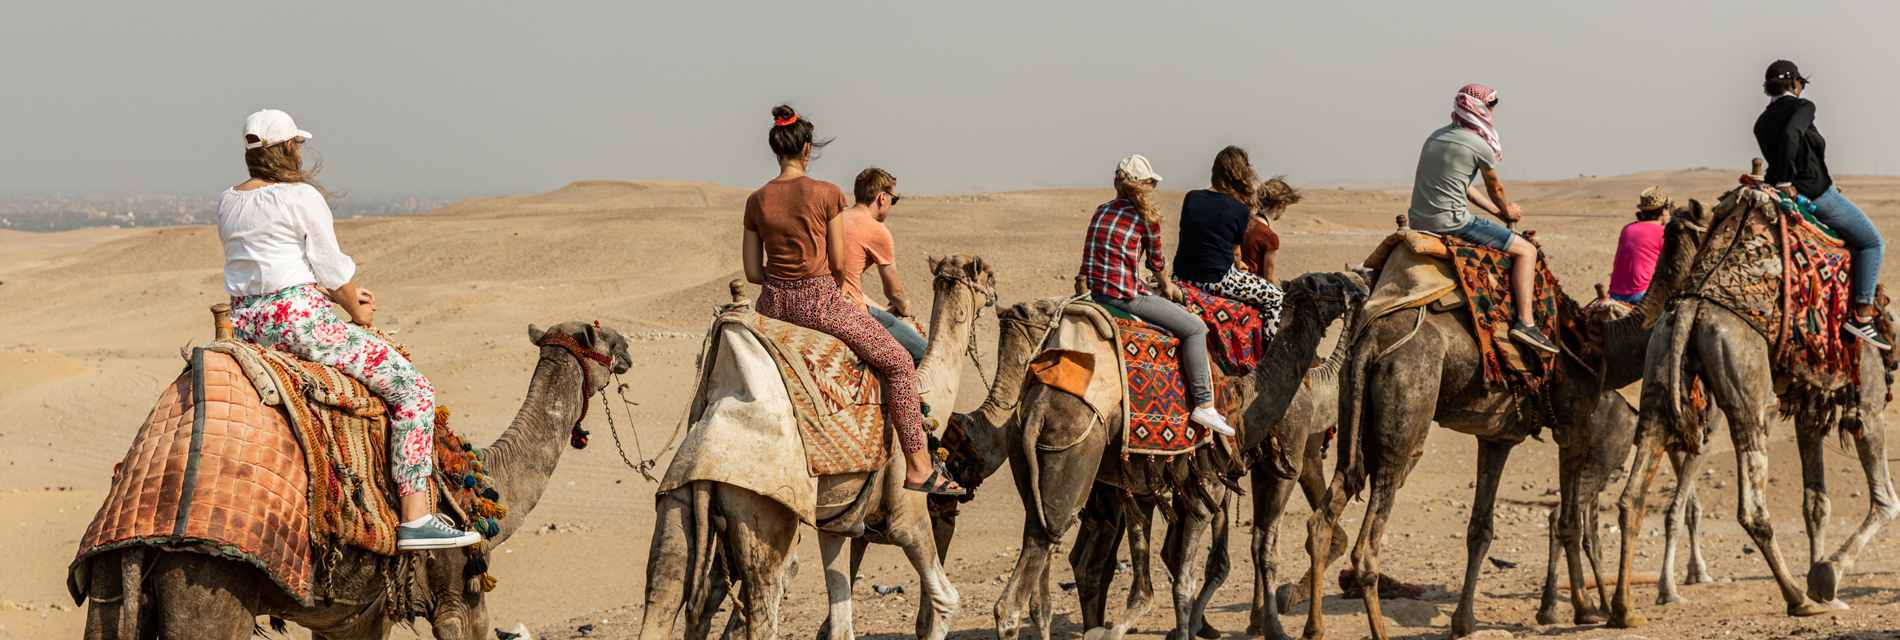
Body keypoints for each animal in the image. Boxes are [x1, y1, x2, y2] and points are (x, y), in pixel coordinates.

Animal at [70, 320, 634, 638]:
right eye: (606, 337)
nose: (630, 349)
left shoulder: (354, 613)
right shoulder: (460, 593)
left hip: (110, 579)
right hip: (207, 577)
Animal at [634, 252, 995, 638]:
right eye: (987, 274)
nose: (995, 293)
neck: (931, 396)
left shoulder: (836, 525)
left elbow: (840, 621)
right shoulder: (906, 516)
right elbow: (947, 600)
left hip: (679, 501)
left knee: (664, 599)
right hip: (762, 514)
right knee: (763, 608)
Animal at [995, 271, 1368, 638]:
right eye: (1331, 282)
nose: (1361, 284)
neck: (1242, 399)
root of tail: (1037, 409)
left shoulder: (1143, 487)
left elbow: (1153, 578)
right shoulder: (1235, 478)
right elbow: (1202, 573)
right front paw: (1268, 628)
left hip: (1034, 469)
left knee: (1055, 559)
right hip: (1072, 457)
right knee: (1020, 593)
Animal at [1299, 207, 1717, 634]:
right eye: (1712, 221)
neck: (1604, 344)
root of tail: (1369, 343)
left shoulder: (1497, 437)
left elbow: (1480, 530)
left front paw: (1463, 621)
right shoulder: (1575, 425)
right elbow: (1569, 522)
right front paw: (1586, 610)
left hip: (1355, 418)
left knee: (1323, 519)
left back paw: (1314, 628)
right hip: (1405, 416)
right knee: (1368, 544)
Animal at [1611, 187, 1892, 626]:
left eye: (1672, 235)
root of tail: (1691, 306)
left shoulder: (1810, 407)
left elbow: (1816, 504)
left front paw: (1824, 582)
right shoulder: (1867, 407)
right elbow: (1885, 503)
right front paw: (1827, 577)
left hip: (1658, 381)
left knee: (1632, 498)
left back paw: (1625, 610)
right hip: (1750, 400)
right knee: (1752, 510)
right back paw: (1798, 599)